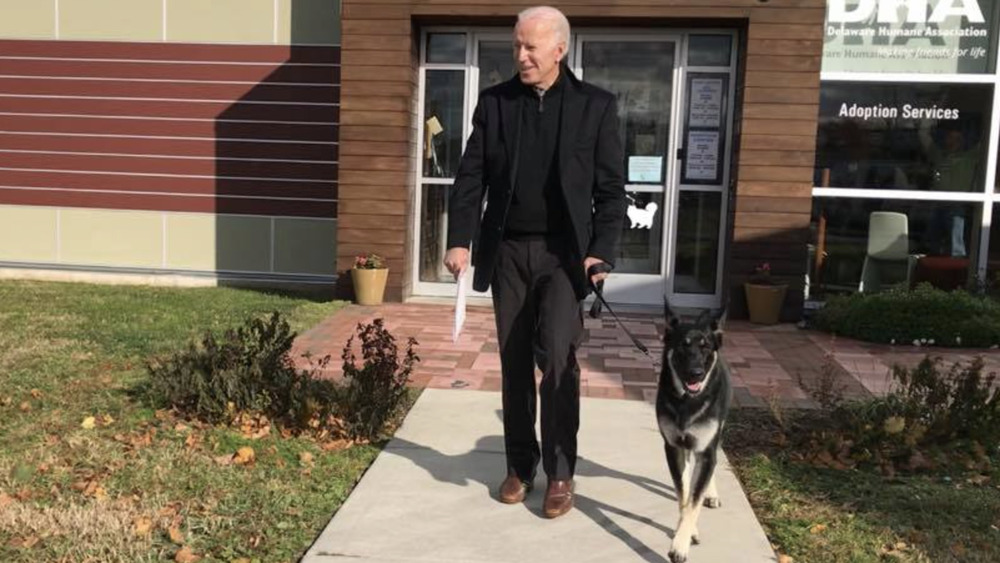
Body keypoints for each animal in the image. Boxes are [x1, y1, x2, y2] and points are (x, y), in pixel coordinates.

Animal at [660, 304, 732, 563]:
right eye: (683, 345)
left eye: (705, 347)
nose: (696, 373)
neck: (687, 402)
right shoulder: (673, 447)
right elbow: (684, 496)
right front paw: (687, 531)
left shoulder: (706, 447)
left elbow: (694, 500)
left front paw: (680, 545)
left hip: (716, 434)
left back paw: (711, 493)